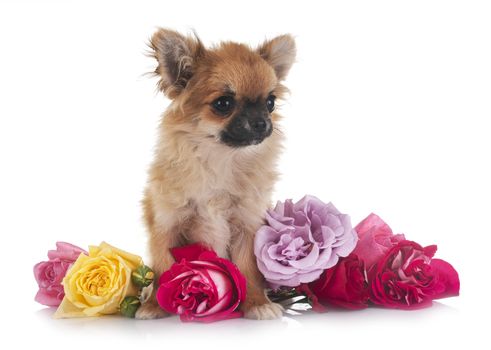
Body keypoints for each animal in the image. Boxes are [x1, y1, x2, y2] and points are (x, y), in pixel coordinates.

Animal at [135, 29, 296, 320]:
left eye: (270, 102)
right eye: (223, 104)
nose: (262, 122)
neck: (221, 159)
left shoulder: (247, 225)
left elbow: (248, 269)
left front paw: (257, 303)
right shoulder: (167, 225)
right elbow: (164, 269)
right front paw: (153, 306)